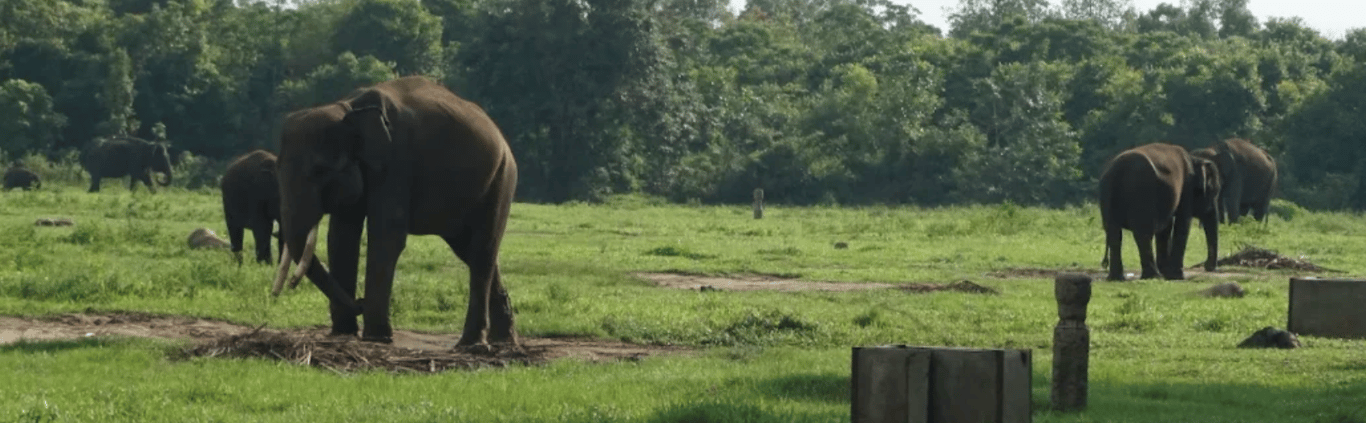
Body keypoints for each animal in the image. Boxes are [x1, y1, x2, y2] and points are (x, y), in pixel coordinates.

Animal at [271, 76, 520, 347]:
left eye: (320, 171)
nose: (359, 302)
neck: (349, 109)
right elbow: (341, 235)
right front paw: (344, 332)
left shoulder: (396, 161)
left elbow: (386, 234)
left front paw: (377, 337)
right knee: (469, 250)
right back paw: (504, 340)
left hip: (501, 179)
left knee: (482, 251)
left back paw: (471, 344)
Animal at [1099, 143, 1222, 281]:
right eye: (1214, 192)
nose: (1208, 267)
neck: (1195, 159)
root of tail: (1116, 171)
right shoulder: (1187, 188)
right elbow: (1183, 223)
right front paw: (1176, 276)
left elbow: (1166, 228)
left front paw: (1167, 272)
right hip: (1141, 193)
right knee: (1143, 234)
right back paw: (1153, 276)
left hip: (1106, 195)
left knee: (1114, 233)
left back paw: (1117, 278)